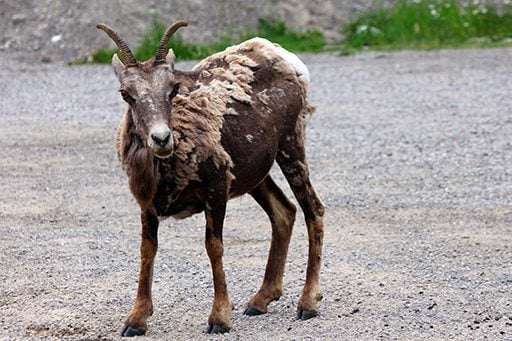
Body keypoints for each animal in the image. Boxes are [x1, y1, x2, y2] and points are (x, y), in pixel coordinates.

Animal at [97, 20, 324, 334]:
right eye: (125, 93)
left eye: (172, 89)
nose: (161, 139)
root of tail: (285, 58)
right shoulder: (147, 203)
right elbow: (147, 250)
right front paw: (136, 320)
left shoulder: (216, 190)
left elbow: (214, 247)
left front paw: (219, 319)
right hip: (253, 174)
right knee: (284, 212)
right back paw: (260, 300)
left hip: (291, 147)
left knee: (313, 210)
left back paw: (308, 303)